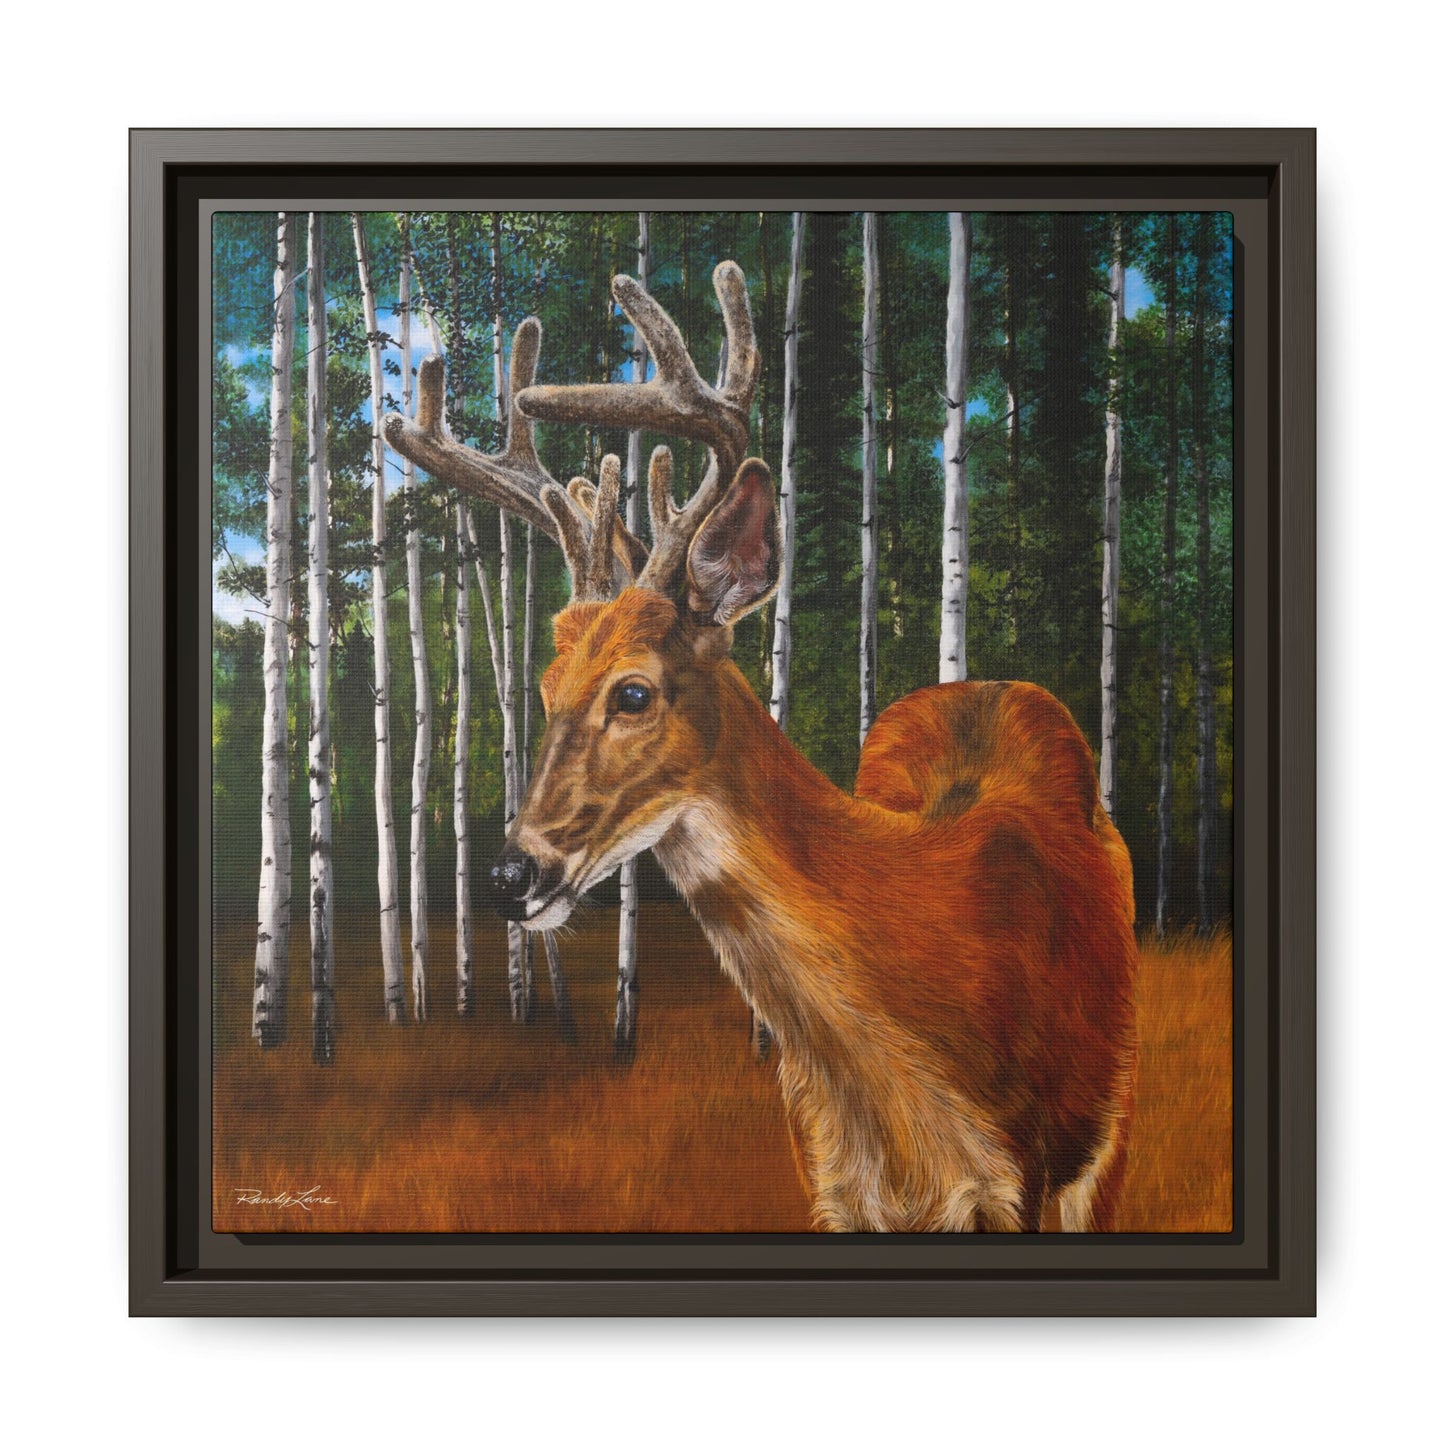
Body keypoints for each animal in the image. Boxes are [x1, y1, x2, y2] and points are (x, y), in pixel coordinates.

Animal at [383, 260, 1138, 1233]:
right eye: (545, 689)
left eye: (633, 691)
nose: (510, 875)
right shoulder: (825, 1176)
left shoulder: (1024, 1177)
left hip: (1107, 1134)